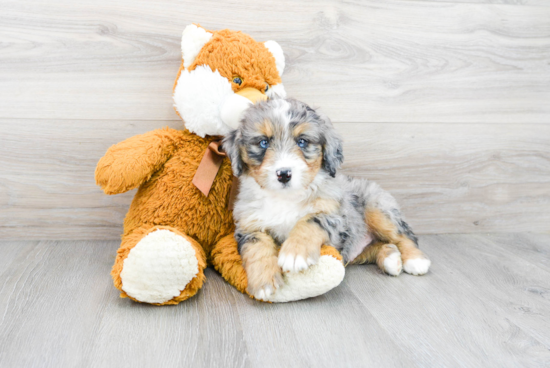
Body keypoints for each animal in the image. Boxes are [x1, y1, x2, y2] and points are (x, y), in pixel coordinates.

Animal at [223, 99, 432, 300]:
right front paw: (263, 282)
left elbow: (309, 221)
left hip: (378, 210)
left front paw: (295, 253)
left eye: (302, 141)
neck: (285, 197)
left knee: (404, 236)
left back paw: (415, 261)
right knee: (377, 246)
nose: (283, 174)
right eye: (263, 143)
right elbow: (257, 248)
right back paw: (391, 258)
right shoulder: (249, 226)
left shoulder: (334, 215)